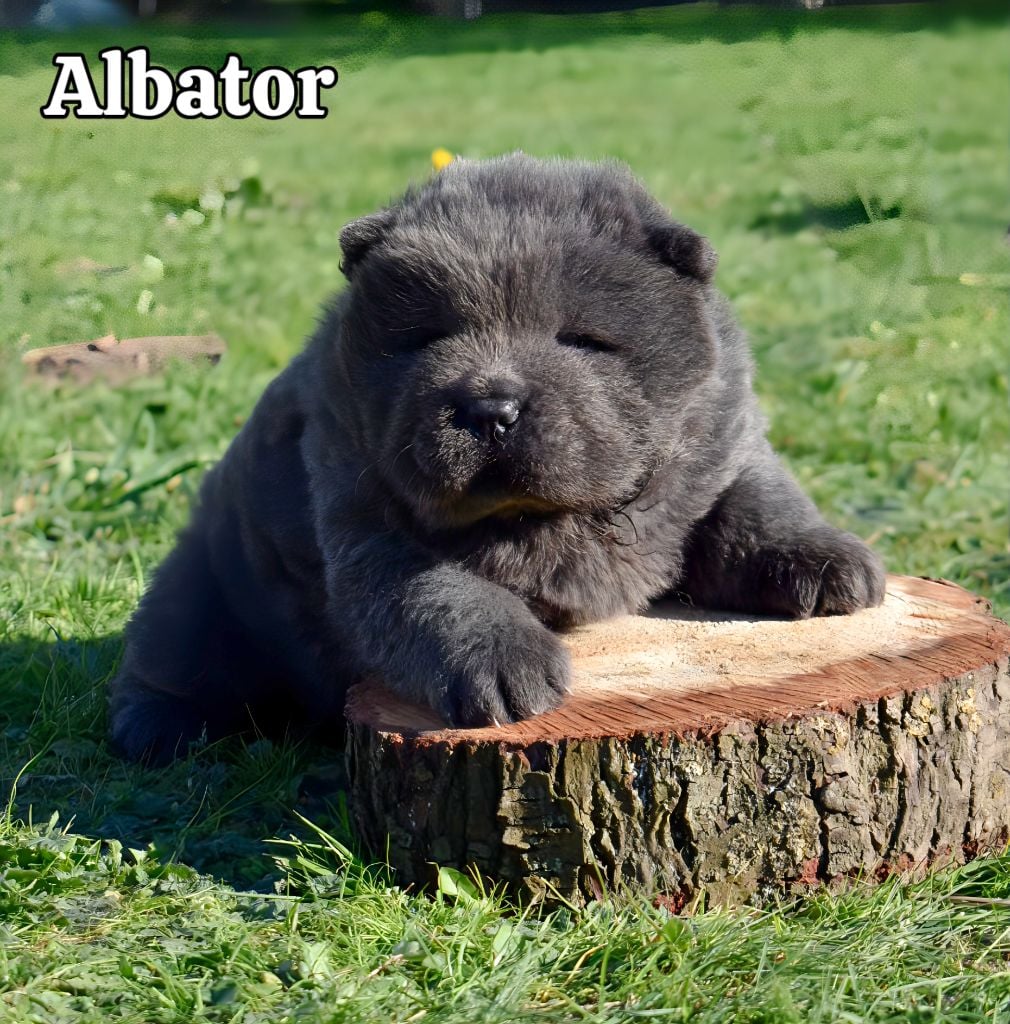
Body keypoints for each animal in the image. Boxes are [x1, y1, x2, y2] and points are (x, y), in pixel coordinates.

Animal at [108, 153, 885, 765]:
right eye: (428, 336)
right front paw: (509, 667)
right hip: (198, 591)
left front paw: (831, 565)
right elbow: (438, 592)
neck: (545, 520)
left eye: (582, 340)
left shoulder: (724, 440)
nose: (490, 408)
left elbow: (758, 502)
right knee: (164, 664)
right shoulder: (365, 525)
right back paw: (157, 733)